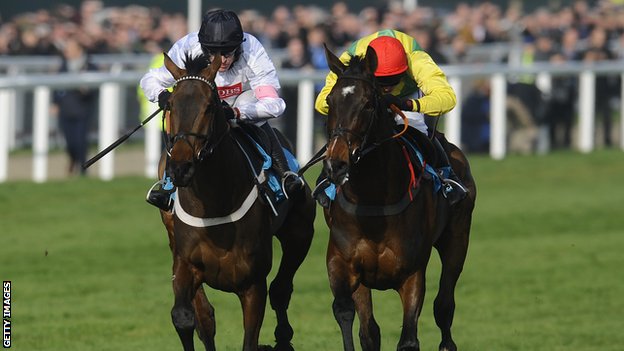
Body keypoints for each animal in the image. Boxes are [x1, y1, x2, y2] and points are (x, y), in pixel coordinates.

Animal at [154, 52, 314, 351]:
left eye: (209, 106)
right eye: (169, 104)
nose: (180, 168)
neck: (214, 206)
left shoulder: (252, 284)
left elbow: (250, 337)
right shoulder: (185, 263)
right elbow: (187, 317)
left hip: (300, 234)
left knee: (281, 289)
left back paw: (283, 338)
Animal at [322, 44, 478, 351]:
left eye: (368, 104)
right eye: (330, 101)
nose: (336, 164)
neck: (372, 202)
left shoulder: (412, 274)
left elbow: (408, 339)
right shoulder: (342, 264)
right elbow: (350, 317)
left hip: (457, 239)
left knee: (444, 306)